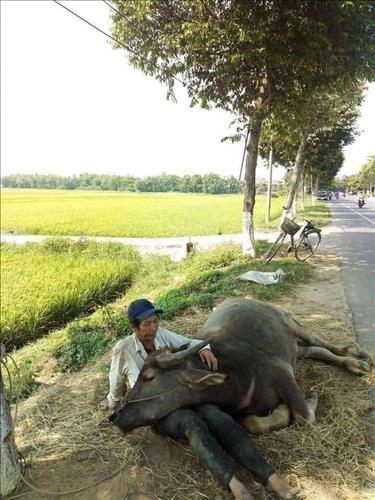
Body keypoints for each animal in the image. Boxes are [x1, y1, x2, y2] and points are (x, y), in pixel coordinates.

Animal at [111, 296, 370, 434]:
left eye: (149, 377)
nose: (115, 416)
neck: (233, 376)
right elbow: (253, 423)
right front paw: (281, 410)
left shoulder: (283, 373)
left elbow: (304, 416)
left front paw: (311, 397)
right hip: (293, 347)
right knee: (315, 350)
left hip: (291, 323)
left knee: (318, 341)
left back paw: (357, 358)